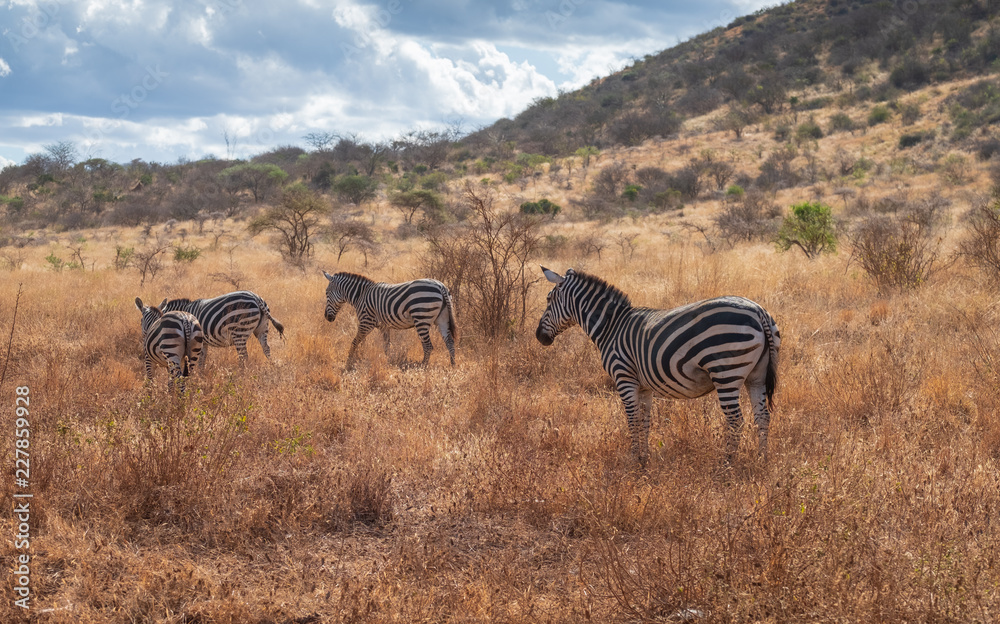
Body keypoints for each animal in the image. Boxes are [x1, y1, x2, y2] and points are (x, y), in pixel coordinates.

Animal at [323, 271, 457, 369]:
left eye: (326, 293)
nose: (326, 317)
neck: (360, 295)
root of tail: (441, 286)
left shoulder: (366, 322)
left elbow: (355, 342)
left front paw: (348, 363)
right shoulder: (384, 326)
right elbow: (386, 346)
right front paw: (388, 362)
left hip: (421, 318)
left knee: (428, 346)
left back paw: (423, 367)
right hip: (443, 319)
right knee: (450, 342)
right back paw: (452, 365)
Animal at [535, 267, 780, 467]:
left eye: (548, 299)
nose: (539, 336)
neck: (611, 326)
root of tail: (758, 311)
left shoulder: (624, 377)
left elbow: (632, 419)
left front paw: (633, 460)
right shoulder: (644, 387)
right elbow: (645, 421)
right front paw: (644, 459)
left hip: (726, 372)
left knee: (736, 420)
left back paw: (727, 463)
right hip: (756, 376)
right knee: (762, 416)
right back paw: (762, 459)